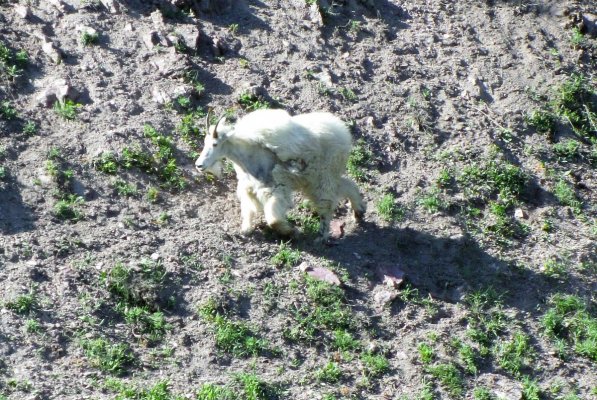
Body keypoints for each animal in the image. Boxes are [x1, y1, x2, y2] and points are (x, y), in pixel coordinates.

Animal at [196, 108, 364, 241]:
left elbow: (273, 220)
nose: (199, 165)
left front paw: (292, 231)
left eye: (215, 144)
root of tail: (343, 134)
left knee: (327, 203)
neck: (249, 158)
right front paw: (246, 230)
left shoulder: (276, 187)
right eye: (204, 142)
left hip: (324, 176)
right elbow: (249, 210)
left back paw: (322, 236)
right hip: (315, 179)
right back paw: (359, 212)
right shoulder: (249, 188)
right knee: (347, 185)